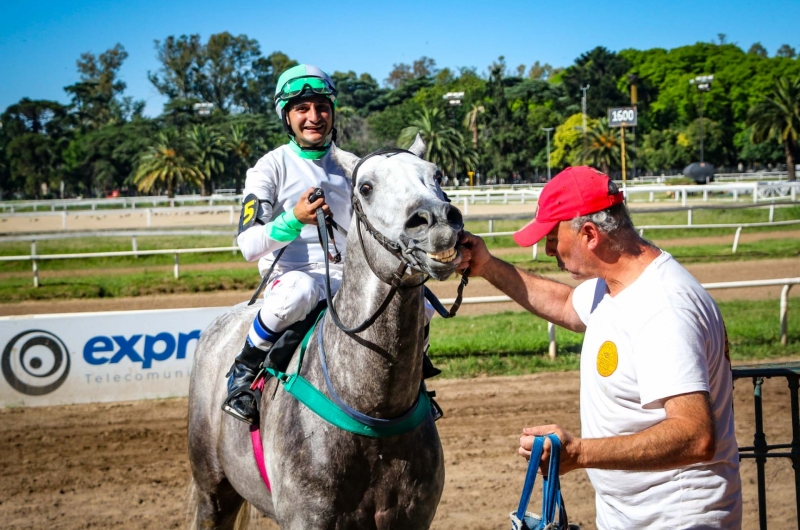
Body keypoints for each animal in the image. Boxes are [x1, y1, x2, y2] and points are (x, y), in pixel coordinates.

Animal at [186, 137, 462, 528]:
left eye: (437, 175)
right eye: (366, 187)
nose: (437, 221)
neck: (374, 411)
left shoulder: (412, 517)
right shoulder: (308, 517)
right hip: (212, 488)